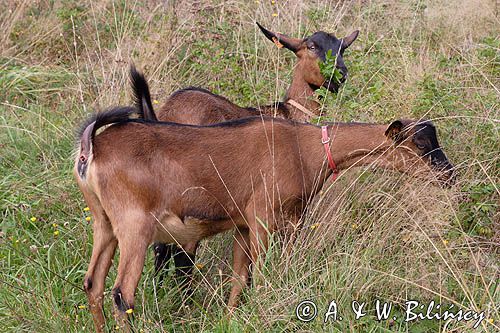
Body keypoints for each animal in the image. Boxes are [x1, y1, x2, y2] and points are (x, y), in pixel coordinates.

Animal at [73, 107, 454, 330]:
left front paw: (229, 320)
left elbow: (239, 279)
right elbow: (266, 275)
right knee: (122, 293)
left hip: (104, 225)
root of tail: (91, 149)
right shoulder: (268, 220)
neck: (304, 149)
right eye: (420, 145)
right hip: (134, 226)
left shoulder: (243, 225)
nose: (449, 176)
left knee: (93, 284)